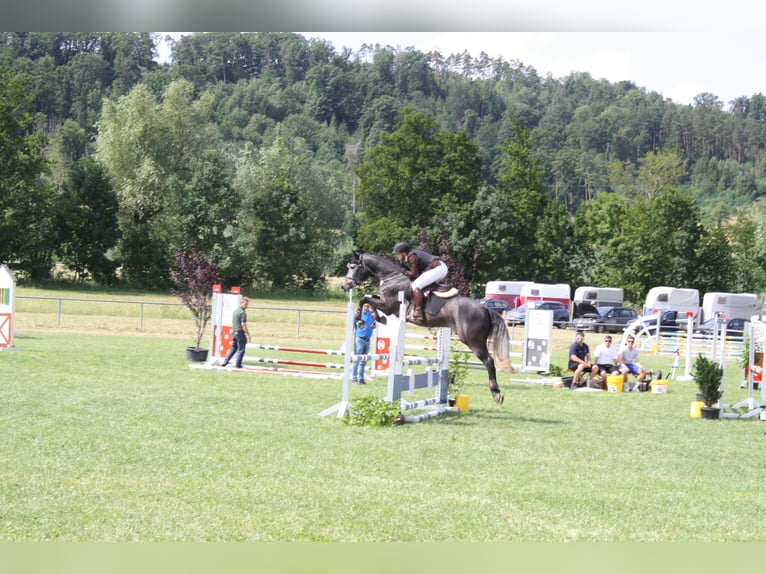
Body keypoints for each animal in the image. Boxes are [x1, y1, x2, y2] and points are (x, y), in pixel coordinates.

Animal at [340, 251, 510, 404]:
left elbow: (365, 299)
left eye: (353, 267)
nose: (344, 286)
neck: (392, 276)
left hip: (472, 340)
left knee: (488, 361)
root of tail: (485, 309)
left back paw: (496, 393)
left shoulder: (388, 306)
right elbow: (370, 299)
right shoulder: (385, 304)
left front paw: (359, 318)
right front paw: (376, 318)